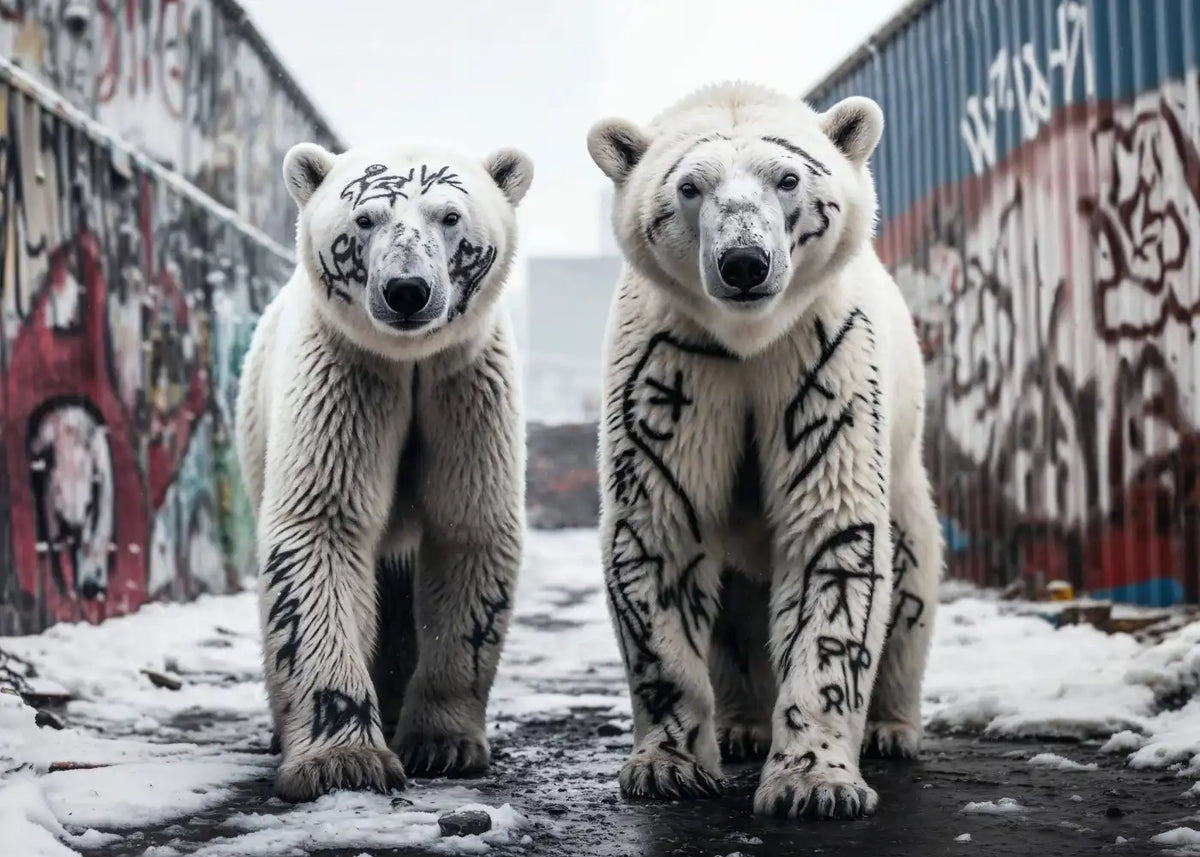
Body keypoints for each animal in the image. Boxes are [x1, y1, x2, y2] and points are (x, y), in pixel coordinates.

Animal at [234, 140, 532, 802]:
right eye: (365, 218)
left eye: (450, 216)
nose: (406, 290)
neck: (410, 360)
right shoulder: (347, 372)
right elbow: (320, 527)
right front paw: (341, 759)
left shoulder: (464, 385)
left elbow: (468, 528)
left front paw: (443, 744)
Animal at [586, 81, 943, 821]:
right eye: (690, 186)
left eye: (788, 178)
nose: (744, 263)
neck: (748, 338)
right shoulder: (673, 364)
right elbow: (659, 529)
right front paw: (667, 766)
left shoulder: (821, 353)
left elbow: (833, 537)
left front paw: (816, 783)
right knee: (732, 615)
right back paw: (741, 725)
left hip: (907, 479)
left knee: (911, 580)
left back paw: (892, 728)